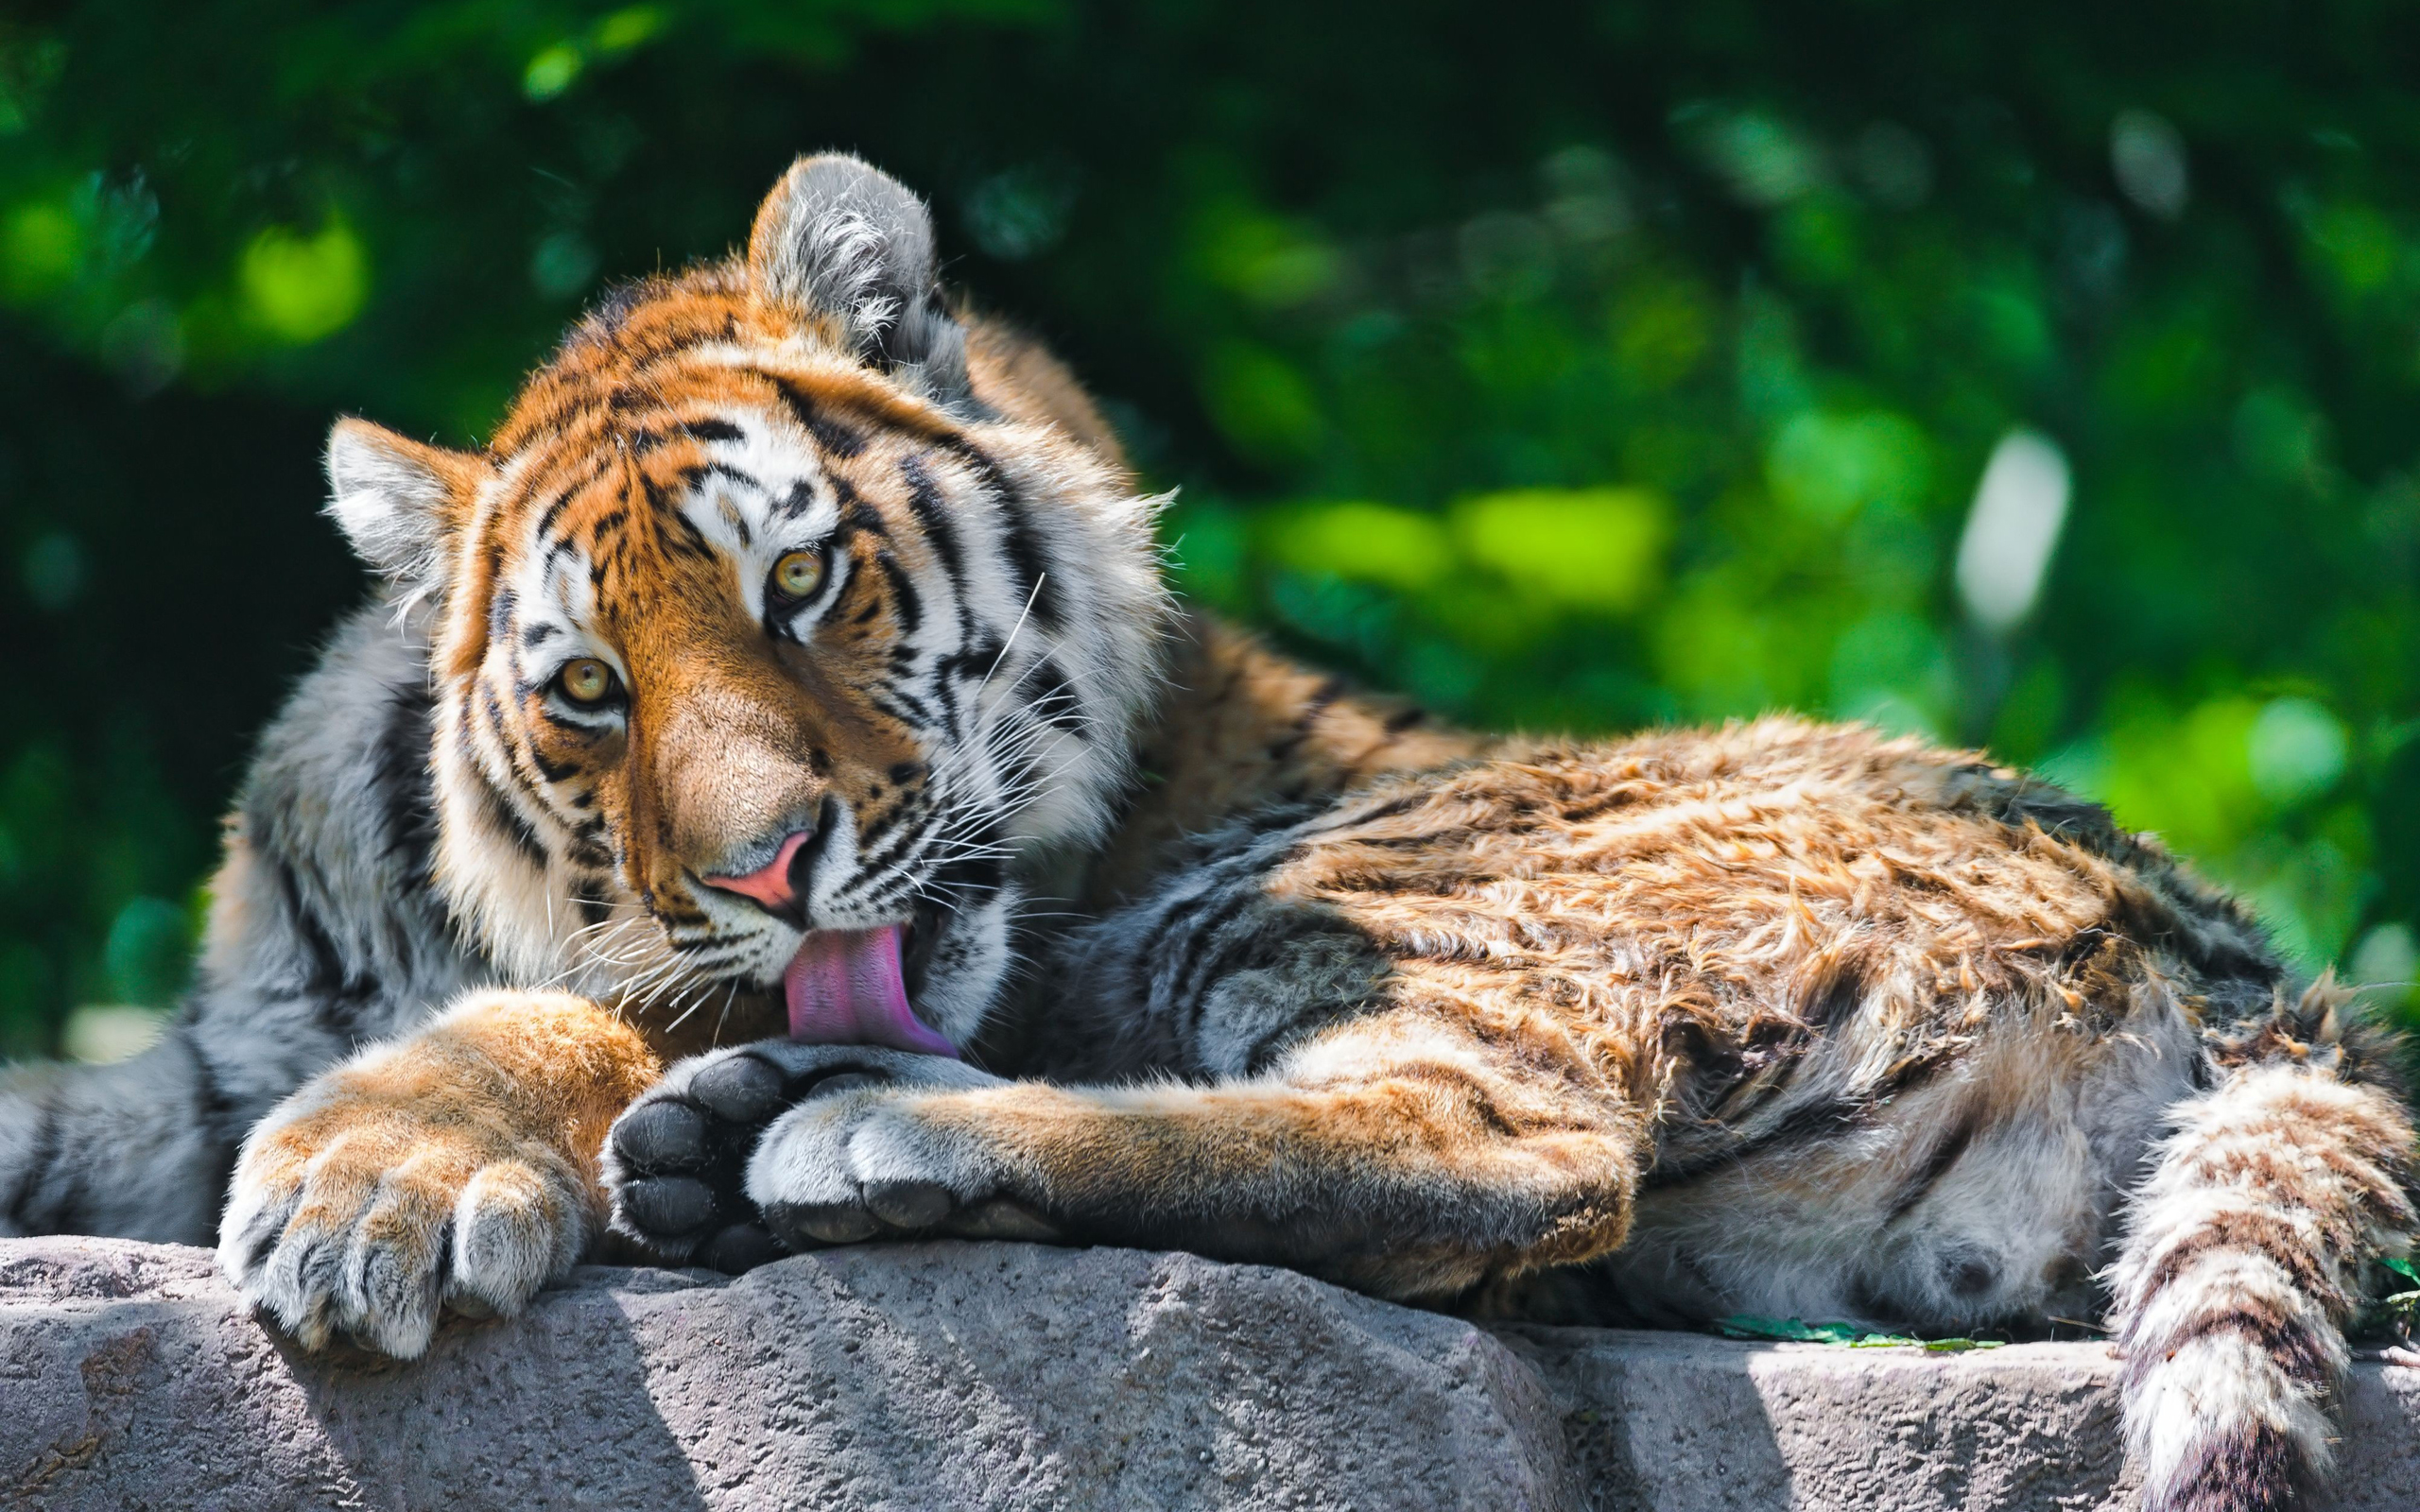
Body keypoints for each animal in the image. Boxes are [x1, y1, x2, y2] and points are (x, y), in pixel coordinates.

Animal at [0, 153, 2410, 1509]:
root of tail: (2262, 977)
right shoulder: (194, 1047)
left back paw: (828, 1130)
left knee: (1495, 1147)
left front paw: (375, 1184)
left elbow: (563, 1017)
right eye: (585, 689)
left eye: (802, 580)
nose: (768, 869)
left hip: (1382, 892)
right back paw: (749, 1124)